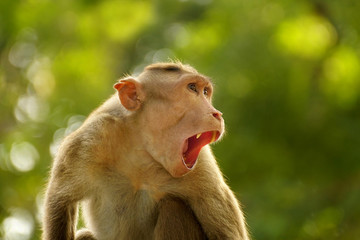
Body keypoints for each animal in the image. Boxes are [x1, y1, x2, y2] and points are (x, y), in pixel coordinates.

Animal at [42, 62, 249, 240]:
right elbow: (60, 203)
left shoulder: (203, 168)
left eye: (205, 92)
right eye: (192, 88)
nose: (217, 114)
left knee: (172, 207)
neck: (142, 152)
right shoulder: (88, 140)